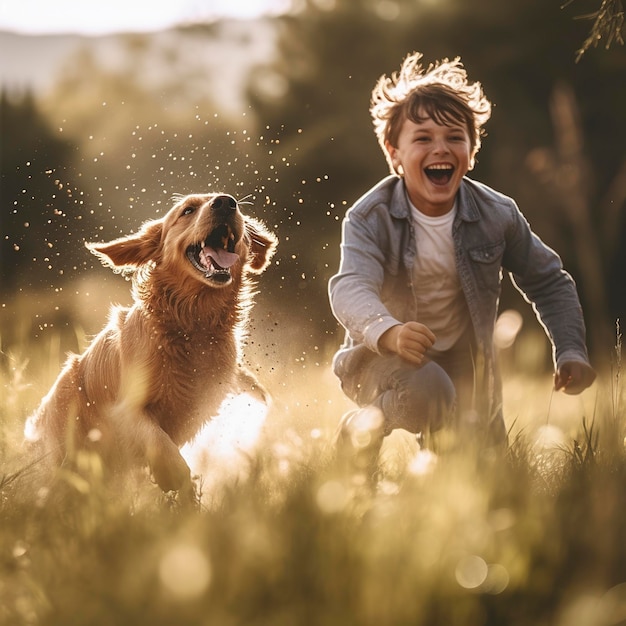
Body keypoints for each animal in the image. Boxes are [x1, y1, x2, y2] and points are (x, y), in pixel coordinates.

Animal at [24, 191, 276, 498]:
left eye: (235, 206)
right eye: (188, 210)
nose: (226, 203)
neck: (192, 324)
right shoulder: (126, 409)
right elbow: (158, 441)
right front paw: (174, 480)